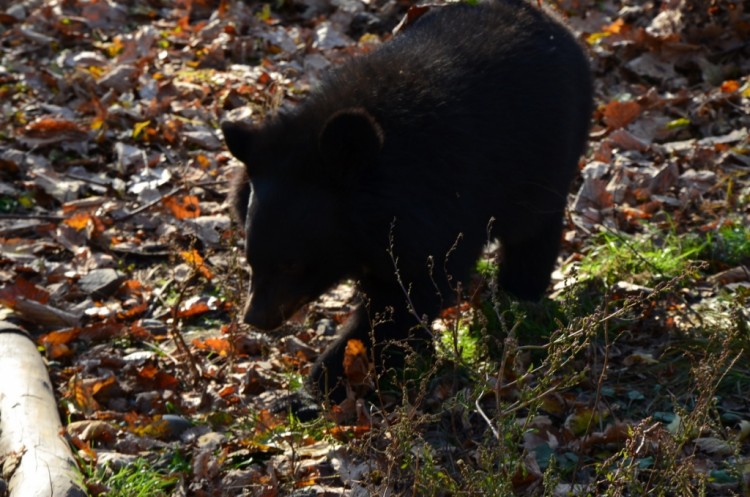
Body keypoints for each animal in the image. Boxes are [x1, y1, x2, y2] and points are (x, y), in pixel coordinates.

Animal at [223, 0, 592, 402]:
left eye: (291, 264)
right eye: (251, 256)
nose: (256, 318)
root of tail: (556, 22)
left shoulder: (439, 209)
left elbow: (409, 297)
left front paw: (321, 384)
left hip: (547, 153)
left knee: (534, 231)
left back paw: (518, 295)